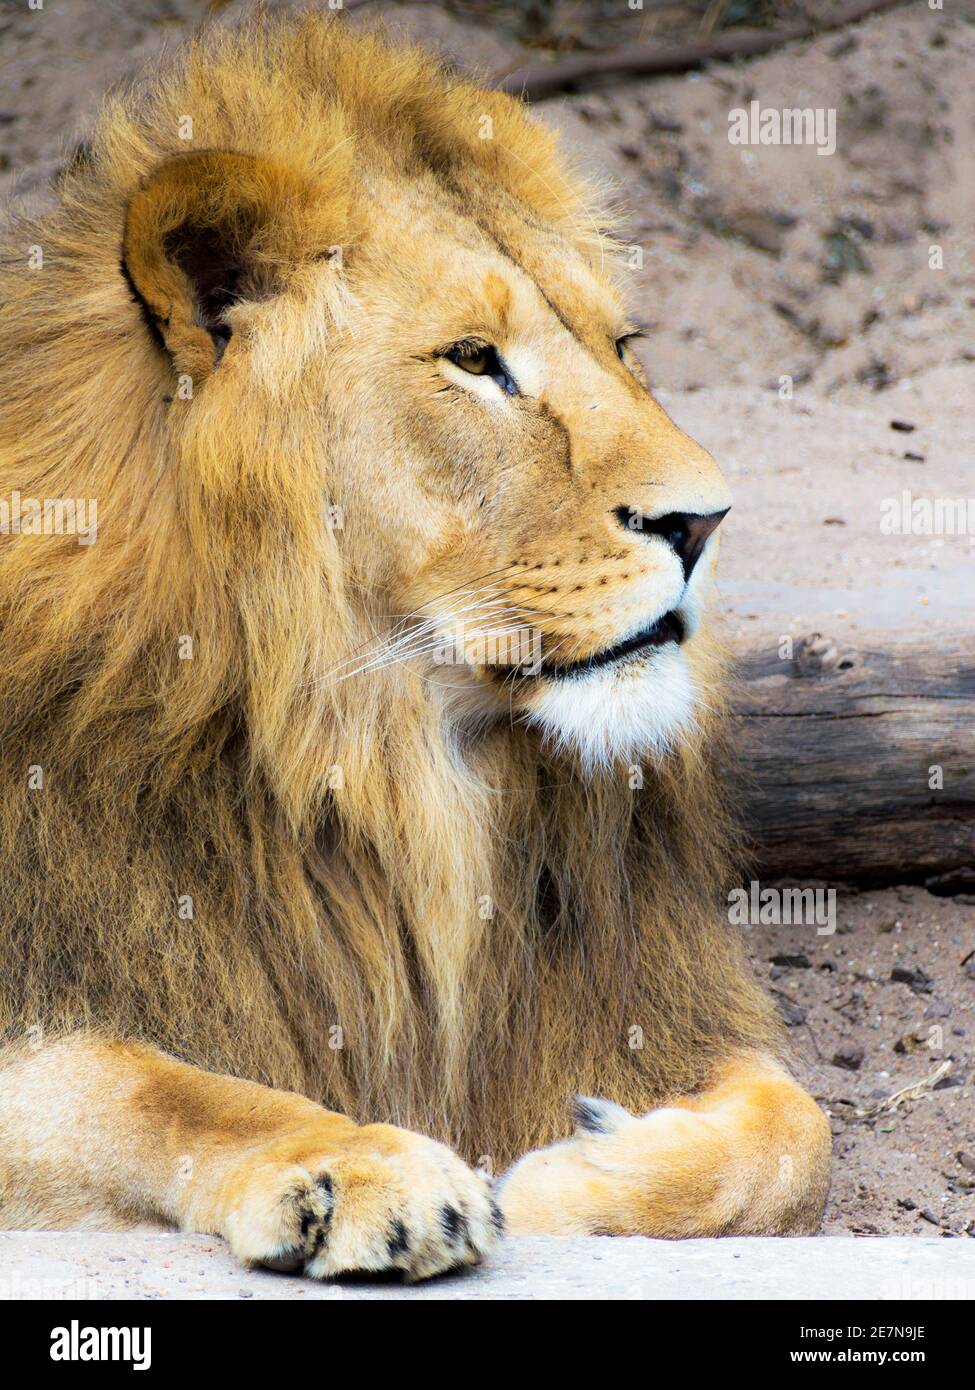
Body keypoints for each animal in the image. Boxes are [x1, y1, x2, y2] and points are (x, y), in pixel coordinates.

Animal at [0, 15, 830, 1280]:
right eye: (475, 359)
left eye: (623, 345)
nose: (704, 521)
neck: (376, 769)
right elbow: (154, 1085)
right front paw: (359, 1166)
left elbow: (798, 1123)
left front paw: (575, 1171)